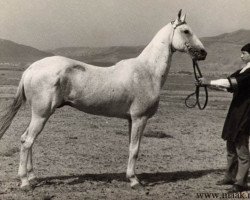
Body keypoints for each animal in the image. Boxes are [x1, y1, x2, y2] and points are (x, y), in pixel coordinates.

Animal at [0, 9, 207, 191]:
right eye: (186, 31)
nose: (203, 53)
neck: (147, 71)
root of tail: (30, 69)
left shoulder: (131, 120)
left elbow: (131, 147)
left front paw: (130, 177)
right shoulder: (140, 118)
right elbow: (135, 149)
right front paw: (135, 181)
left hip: (38, 114)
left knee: (27, 140)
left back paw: (33, 177)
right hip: (41, 114)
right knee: (27, 141)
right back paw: (25, 182)